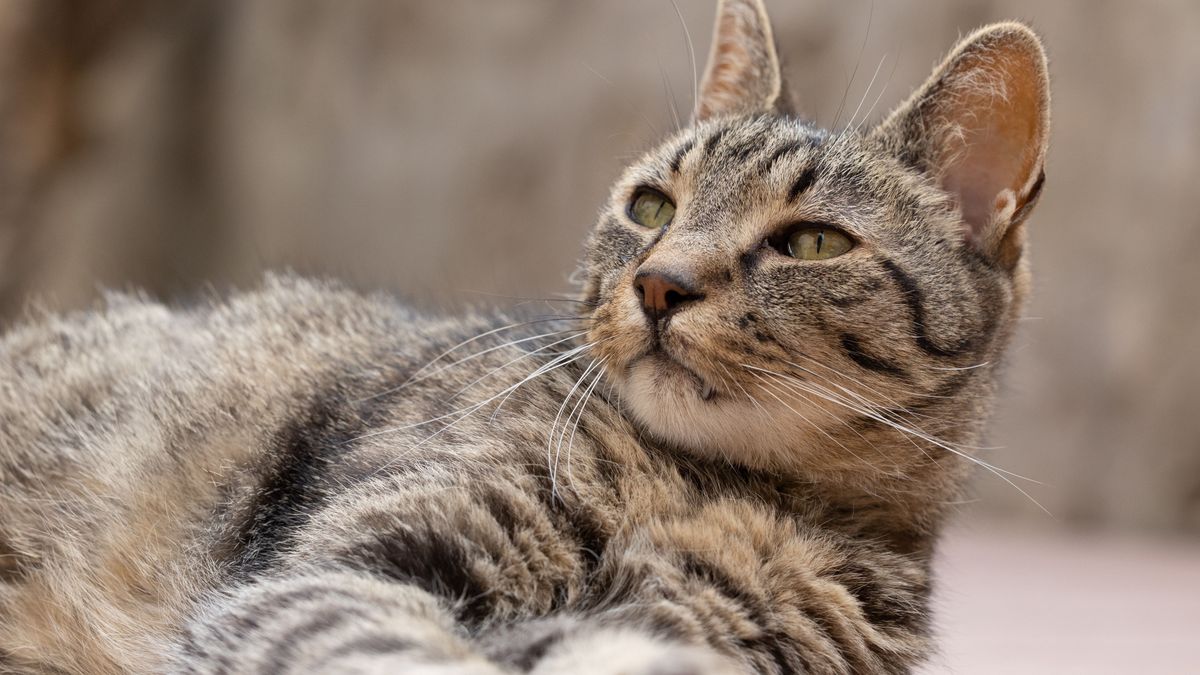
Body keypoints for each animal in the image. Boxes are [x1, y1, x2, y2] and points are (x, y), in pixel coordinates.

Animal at [0, 2, 1051, 667]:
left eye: (812, 242)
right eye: (652, 205)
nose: (660, 283)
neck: (710, 489)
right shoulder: (336, 571)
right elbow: (392, 649)